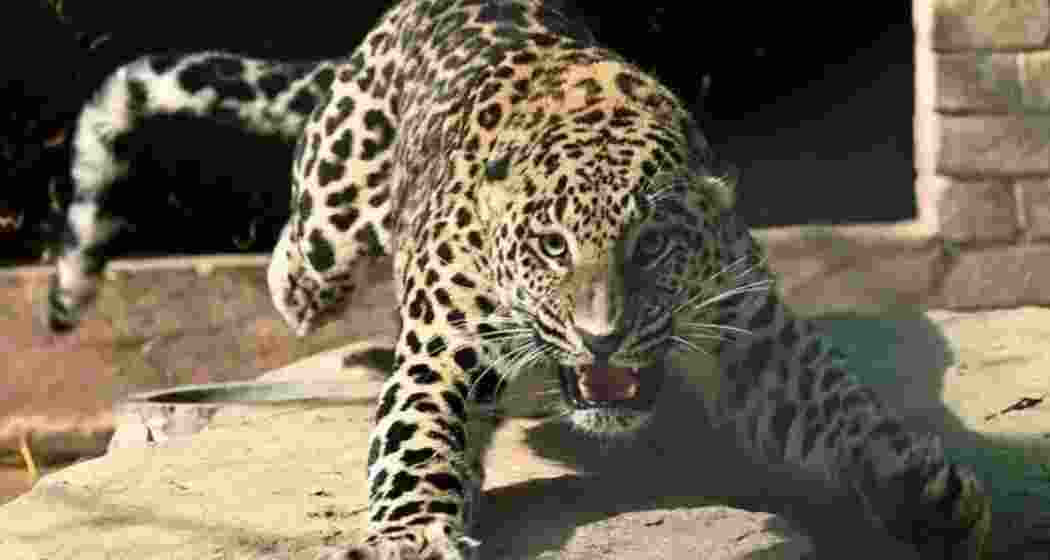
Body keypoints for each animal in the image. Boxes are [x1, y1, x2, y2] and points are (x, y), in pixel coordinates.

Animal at [46, 1, 992, 558]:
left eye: (654, 247)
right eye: (549, 247)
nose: (603, 337)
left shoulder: (752, 333)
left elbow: (840, 407)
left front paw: (922, 492)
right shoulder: (442, 354)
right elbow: (418, 445)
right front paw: (415, 538)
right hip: (335, 201)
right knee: (299, 255)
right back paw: (301, 287)